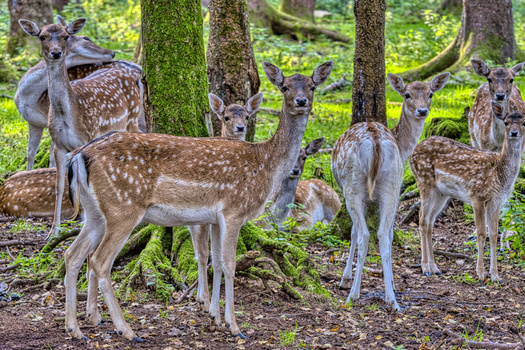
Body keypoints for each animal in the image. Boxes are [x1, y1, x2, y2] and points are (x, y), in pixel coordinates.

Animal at [19, 18, 143, 238]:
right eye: (42, 36)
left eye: (65, 36)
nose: (56, 52)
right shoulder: (59, 144)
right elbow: (59, 184)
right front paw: (54, 230)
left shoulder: (88, 136)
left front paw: (84, 221)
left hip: (133, 118)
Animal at [62, 60, 332, 342]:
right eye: (285, 87)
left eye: (312, 86)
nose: (301, 101)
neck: (266, 165)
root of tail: (80, 155)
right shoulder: (234, 210)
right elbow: (229, 264)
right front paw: (234, 326)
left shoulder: (215, 217)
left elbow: (215, 260)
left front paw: (215, 317)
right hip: (123, 207)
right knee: (99, 261)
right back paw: (126, 330)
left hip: (95, 211)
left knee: (73, 254)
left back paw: (75, 328)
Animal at [334, 71, 448, 308]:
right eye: (407, 94)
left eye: (430, 94)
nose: (422, 111)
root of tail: (375, 142)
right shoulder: (394, 193)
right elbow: (389, 231)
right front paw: (393, 283)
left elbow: (354, 232)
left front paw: (345, 278)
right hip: (390, 185)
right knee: (382, 235)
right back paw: (392, 299)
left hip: (353, 187)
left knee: (365, 234)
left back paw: (353, 295)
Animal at [410, 102, 524, 284]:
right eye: (506, 122)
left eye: (523, 123)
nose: (514, 133)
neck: (499, 174)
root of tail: (413, 152)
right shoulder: (477, 195)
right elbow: (481, 233)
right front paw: (480, 274)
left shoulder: (497, 201)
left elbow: (494, 234)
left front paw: (495, 276)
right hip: (424, 180)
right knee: (422, 219)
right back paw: (425, 268)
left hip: (441, 193)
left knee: (429, 221)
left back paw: (435, 268)